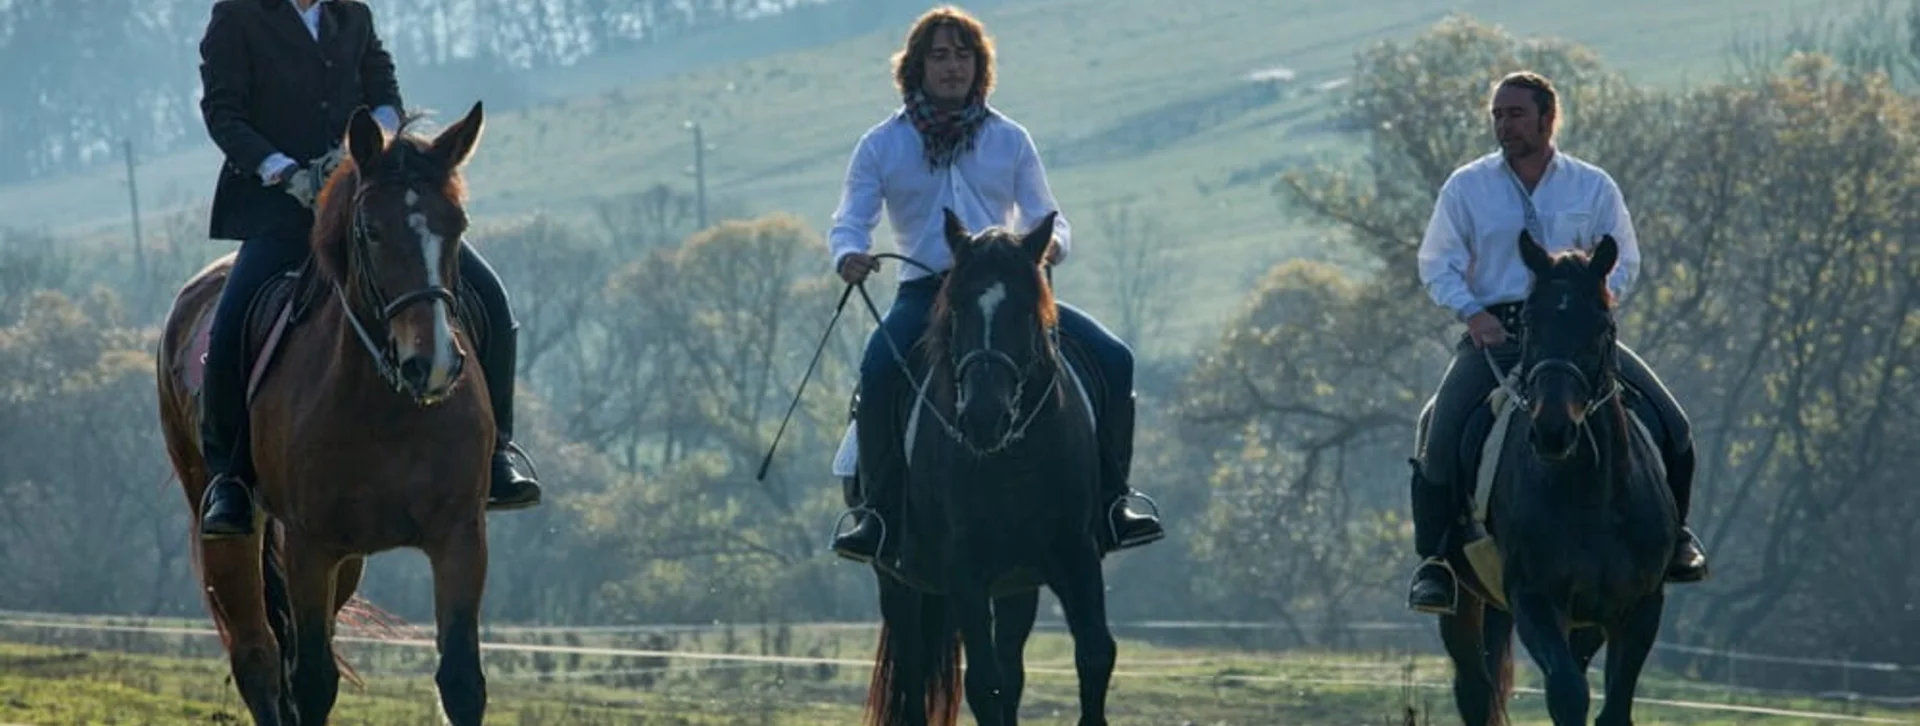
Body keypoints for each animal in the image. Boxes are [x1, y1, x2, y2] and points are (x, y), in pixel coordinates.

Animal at [155, 103, 497, 725]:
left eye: (457, 226)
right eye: (372, 231)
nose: (432, 364)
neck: (388, 408)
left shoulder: (460, 536)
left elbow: (461, 681)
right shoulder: (311, 545)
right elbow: (312, 680)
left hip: (350, 558)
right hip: (227, 525)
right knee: (259, 657)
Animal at [857, 209, 1117, 726]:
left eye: (1026, 311)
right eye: (956, 310)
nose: (982, 417)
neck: (1014, 460)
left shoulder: (1076, 553)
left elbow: (1095, 655)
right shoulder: (965, 569)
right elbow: (984, 683)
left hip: (1017, 583)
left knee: (1011, 668)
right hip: (897, 581)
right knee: (914, 673)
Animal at [1428, 231, 1678, 726]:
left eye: (1600, 327)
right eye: (1528, 322)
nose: (1552, 431)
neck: (1594, 496)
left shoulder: (1639, 608)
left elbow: (1613, 709)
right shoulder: (1536, 601)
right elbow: (1567, 693)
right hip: (1464, 604)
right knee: (1475, 691)